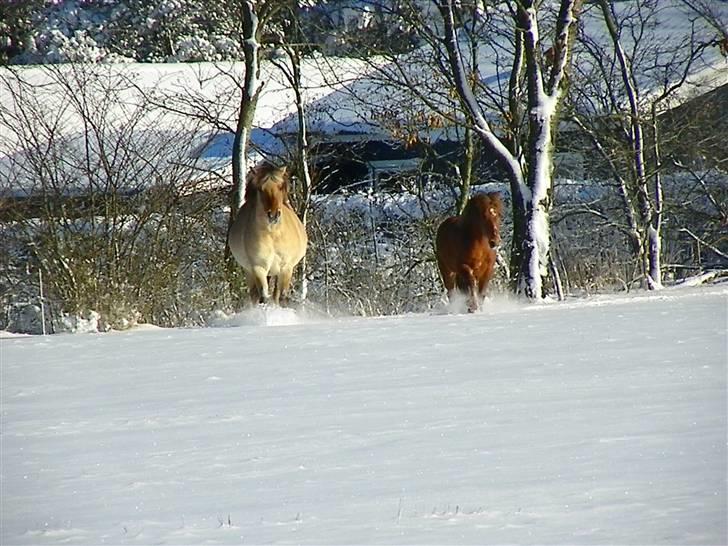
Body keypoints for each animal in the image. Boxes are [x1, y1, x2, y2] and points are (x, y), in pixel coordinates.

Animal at [228, 163, 308, 307]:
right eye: (260, 189)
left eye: (280, 186)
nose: (273, 215)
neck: (273, 234)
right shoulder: (258, 267)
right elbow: (263, 296)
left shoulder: (286, 268)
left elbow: (282, 297)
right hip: (250, 271)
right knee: (254, 294)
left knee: (275, 294)